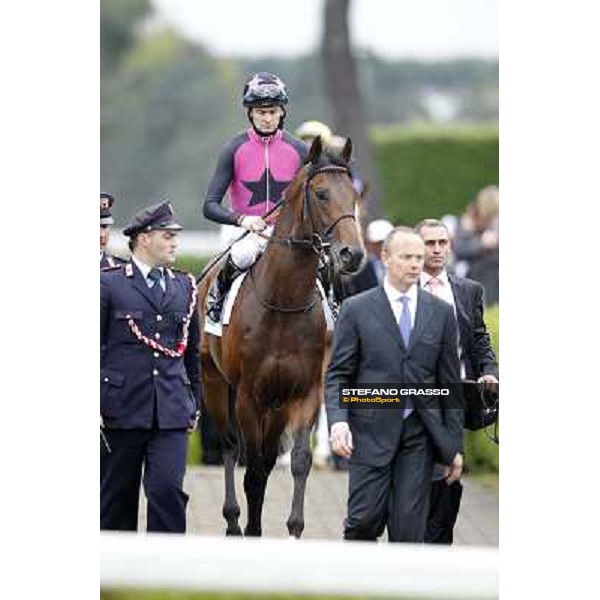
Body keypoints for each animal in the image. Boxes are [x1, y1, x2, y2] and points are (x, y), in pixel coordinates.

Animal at [198, 137, 366, 540]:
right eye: (321, 194)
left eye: (353, 195)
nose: (352, 254)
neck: (283, 304)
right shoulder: (248, 395)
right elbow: (254, 470)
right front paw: (251, 528)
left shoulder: (305, 391)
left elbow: (297, 461)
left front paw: (293, 528)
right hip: (215, 383)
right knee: (230, 447)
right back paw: (232, 521)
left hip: (275, 404)